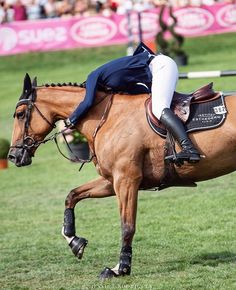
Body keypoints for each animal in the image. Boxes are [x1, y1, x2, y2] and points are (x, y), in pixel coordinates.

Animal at [8, 73, 236, 278]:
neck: (106, 117)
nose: (13, 156)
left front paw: (120, 268)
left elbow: (127, 226)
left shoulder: (126, 180)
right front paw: (74, 241)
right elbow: (72, 195)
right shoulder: (112, 181)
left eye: (20, 114)